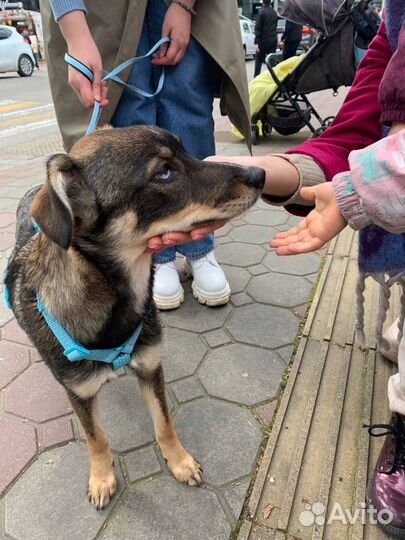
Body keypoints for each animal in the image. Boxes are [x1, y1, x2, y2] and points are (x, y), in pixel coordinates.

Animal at [6, 125, 266, 510]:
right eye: (164, 172)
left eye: (185, 150)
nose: (260, 174)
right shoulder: (79, 393)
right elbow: (97, 438)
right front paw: (101, 478)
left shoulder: (150, 366)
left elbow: (164, 423)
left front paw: (180, 461)